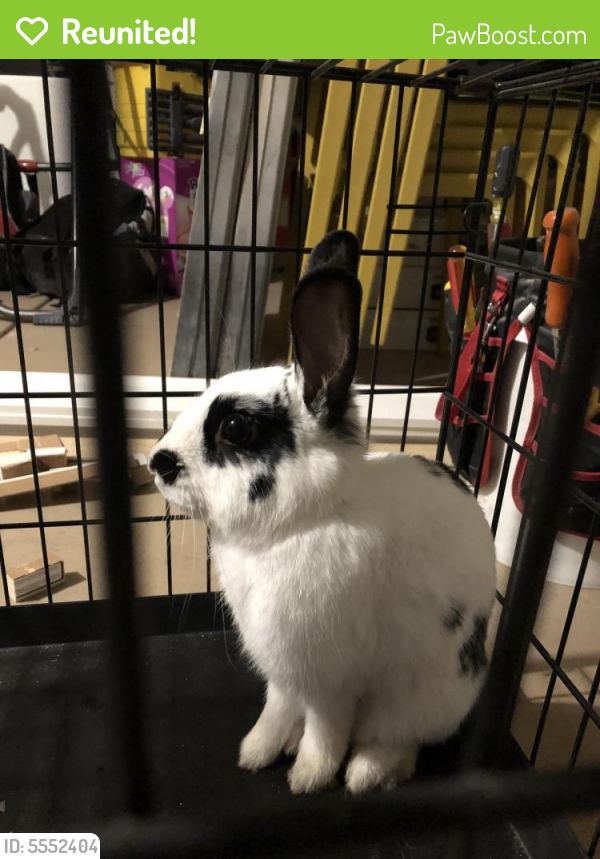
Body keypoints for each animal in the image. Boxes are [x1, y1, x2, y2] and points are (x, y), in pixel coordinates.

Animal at [150, 229, 496, 795]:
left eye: (237, 428)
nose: (156, 462)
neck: (300, 524)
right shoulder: (283, 670)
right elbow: (276, 709)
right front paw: (255, 753)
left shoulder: (329, 678)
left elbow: (326, 729)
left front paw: (308, 777)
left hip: (424, 693)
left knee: (398, 738)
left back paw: (366, 774)